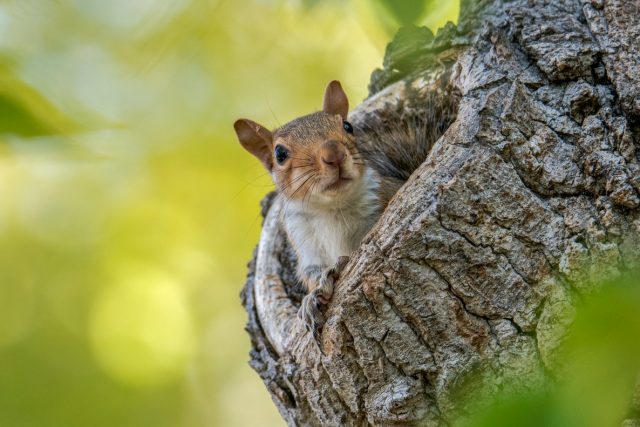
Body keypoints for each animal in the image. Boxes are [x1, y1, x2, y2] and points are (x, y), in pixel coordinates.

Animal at [232, 80, 448, 344]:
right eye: (279, 154)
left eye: (347, 126)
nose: (333, 154)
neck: (332, 208)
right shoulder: (305, 242)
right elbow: (311, 273)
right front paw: (312, 298)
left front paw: (338, 266)